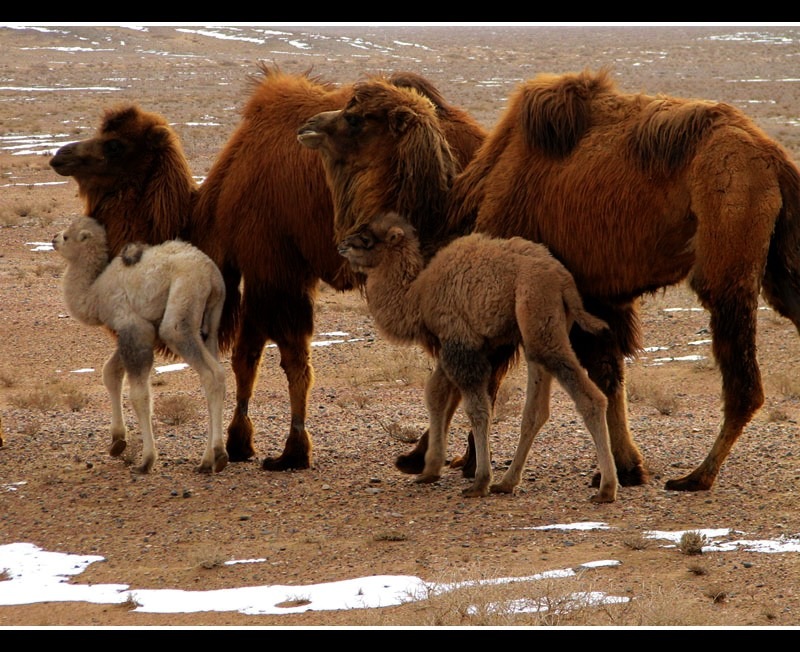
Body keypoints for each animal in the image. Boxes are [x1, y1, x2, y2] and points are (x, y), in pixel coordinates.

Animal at [52, 216, 228, 476]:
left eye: (67, 237)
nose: (53, 239)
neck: (94, 294)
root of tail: (212, 276)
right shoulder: (143, 331)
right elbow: (110, 372)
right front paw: (117, 442)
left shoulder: (133, 327)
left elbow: (138, 394)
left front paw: (146, 460)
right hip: (211, 323)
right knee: (216, 374)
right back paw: (208, 460)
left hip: (182, 302)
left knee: (209, 371)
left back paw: (218, 454)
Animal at [334, 211, 616, 502]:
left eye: (367, 239)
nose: (341, 245)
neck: (419, 296)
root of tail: (564, 281)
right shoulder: (453, 345)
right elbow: (434, 394)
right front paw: (430, 470)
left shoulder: (459, 341)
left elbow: (477, 409)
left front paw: (479, 481)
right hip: (541, 330)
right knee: (536, 408)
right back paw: (507, 482)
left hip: (539, 316)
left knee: (590, 398)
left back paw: (606, 488)